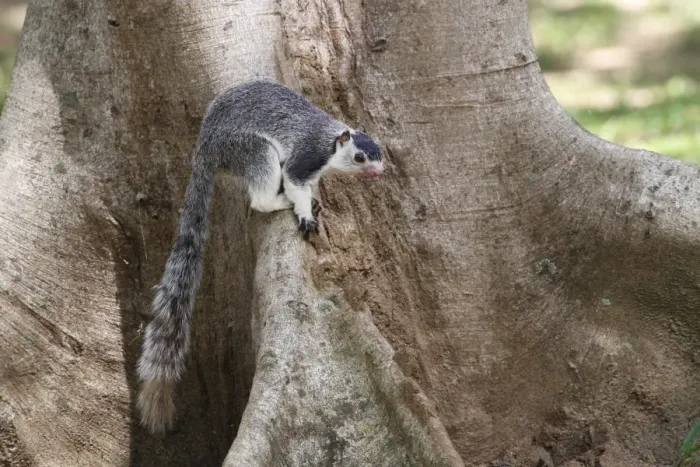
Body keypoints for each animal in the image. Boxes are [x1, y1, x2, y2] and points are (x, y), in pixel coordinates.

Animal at [136, 80, 384, 434]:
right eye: (360, 157)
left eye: (380, 154)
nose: (378, 172)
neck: (331, 137)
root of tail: (204, 148)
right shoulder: (307, 156)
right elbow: (295, 181)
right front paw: (305, 212)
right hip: (252, 151)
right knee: (260, 197)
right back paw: (278, 202)